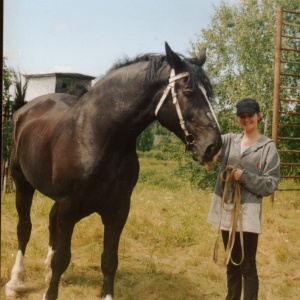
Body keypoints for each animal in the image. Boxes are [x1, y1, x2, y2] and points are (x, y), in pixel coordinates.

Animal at [5, 42, 221, 300]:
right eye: (188, 91)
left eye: (209, 93)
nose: (213, 146)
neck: (98, 138)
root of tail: (24, 110)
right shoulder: (69, 208)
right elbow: (62, 259)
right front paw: (49, 291)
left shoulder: (118, 211)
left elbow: (109, 261)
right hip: (22, 183)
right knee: (24, 228)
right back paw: (16, 281)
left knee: (50, 222)